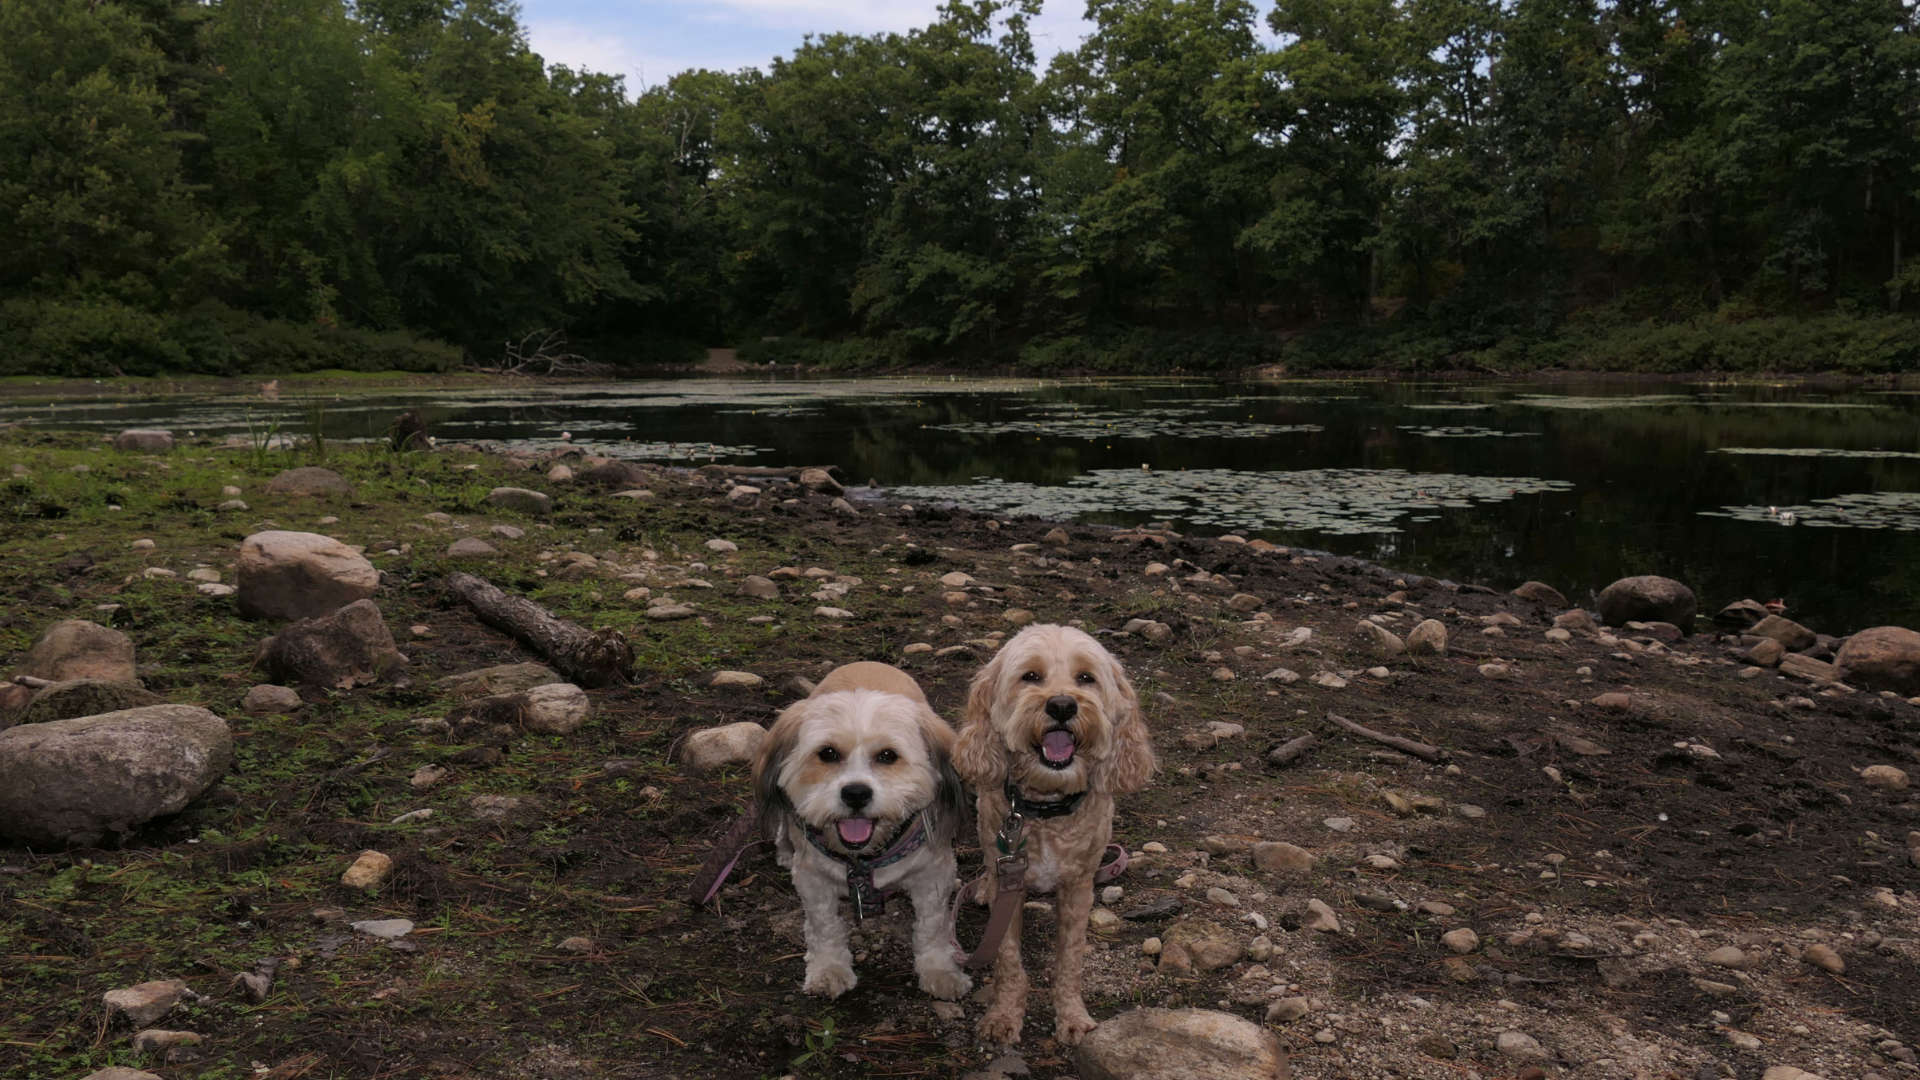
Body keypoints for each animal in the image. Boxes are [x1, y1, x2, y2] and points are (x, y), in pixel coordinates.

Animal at [744, 661, 967, 999]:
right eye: (827, 753)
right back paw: (783, 851)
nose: (856, 794)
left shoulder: (933, 876)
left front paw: (940, 971)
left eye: (888, 755)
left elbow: (932, 926)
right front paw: (829, 969)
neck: (864, 860)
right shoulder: (813, 879)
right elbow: (824, 926)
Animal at [960, 622, 1152, 1045]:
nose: (1062, 705)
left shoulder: (1079, 888)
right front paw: (1003, 1015)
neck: (1046, 807)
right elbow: (1007, 957)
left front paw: (1072, 1016)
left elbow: (1070, 959)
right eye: (1030, 676)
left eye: (1086, 678)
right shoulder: (1009, 880)